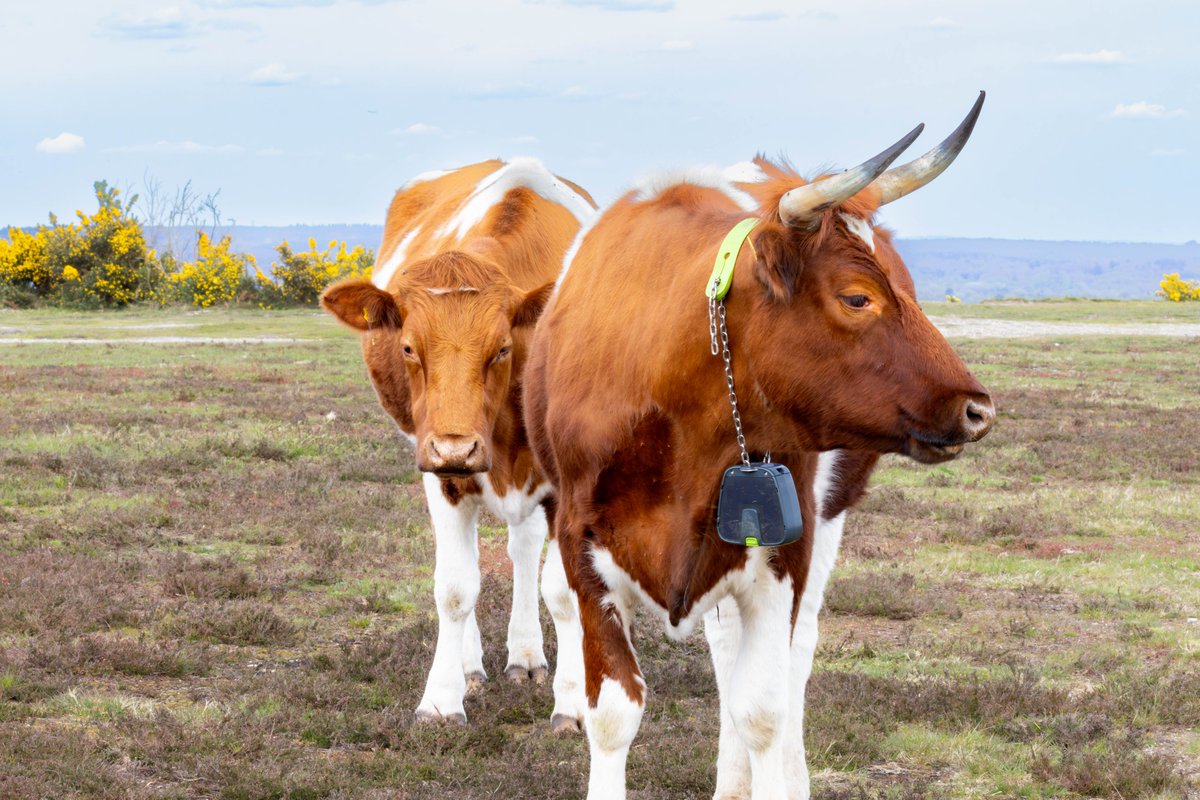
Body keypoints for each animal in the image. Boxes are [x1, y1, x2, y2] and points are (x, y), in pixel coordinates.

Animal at [525, 97, 993, 796]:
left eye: (907, 286)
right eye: (858, 297)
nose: (977, 409)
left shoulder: (783, 555)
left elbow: (763, 708)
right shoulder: (582, 544)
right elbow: (612, 713)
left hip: (822, 521)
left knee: (790, 662)